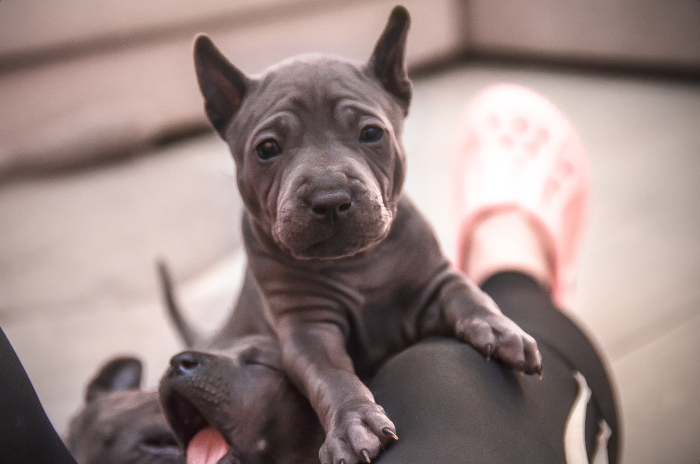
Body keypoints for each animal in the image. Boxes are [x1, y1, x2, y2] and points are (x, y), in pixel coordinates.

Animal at [192, 6, 542, 463]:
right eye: (267, 149)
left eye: (371, 133)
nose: (329, 198)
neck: (357, 263)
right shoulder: (308, 329)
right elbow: (332, 376)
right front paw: (352, 422)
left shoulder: (435, 280)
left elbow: (469, 293)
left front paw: (500, 329)